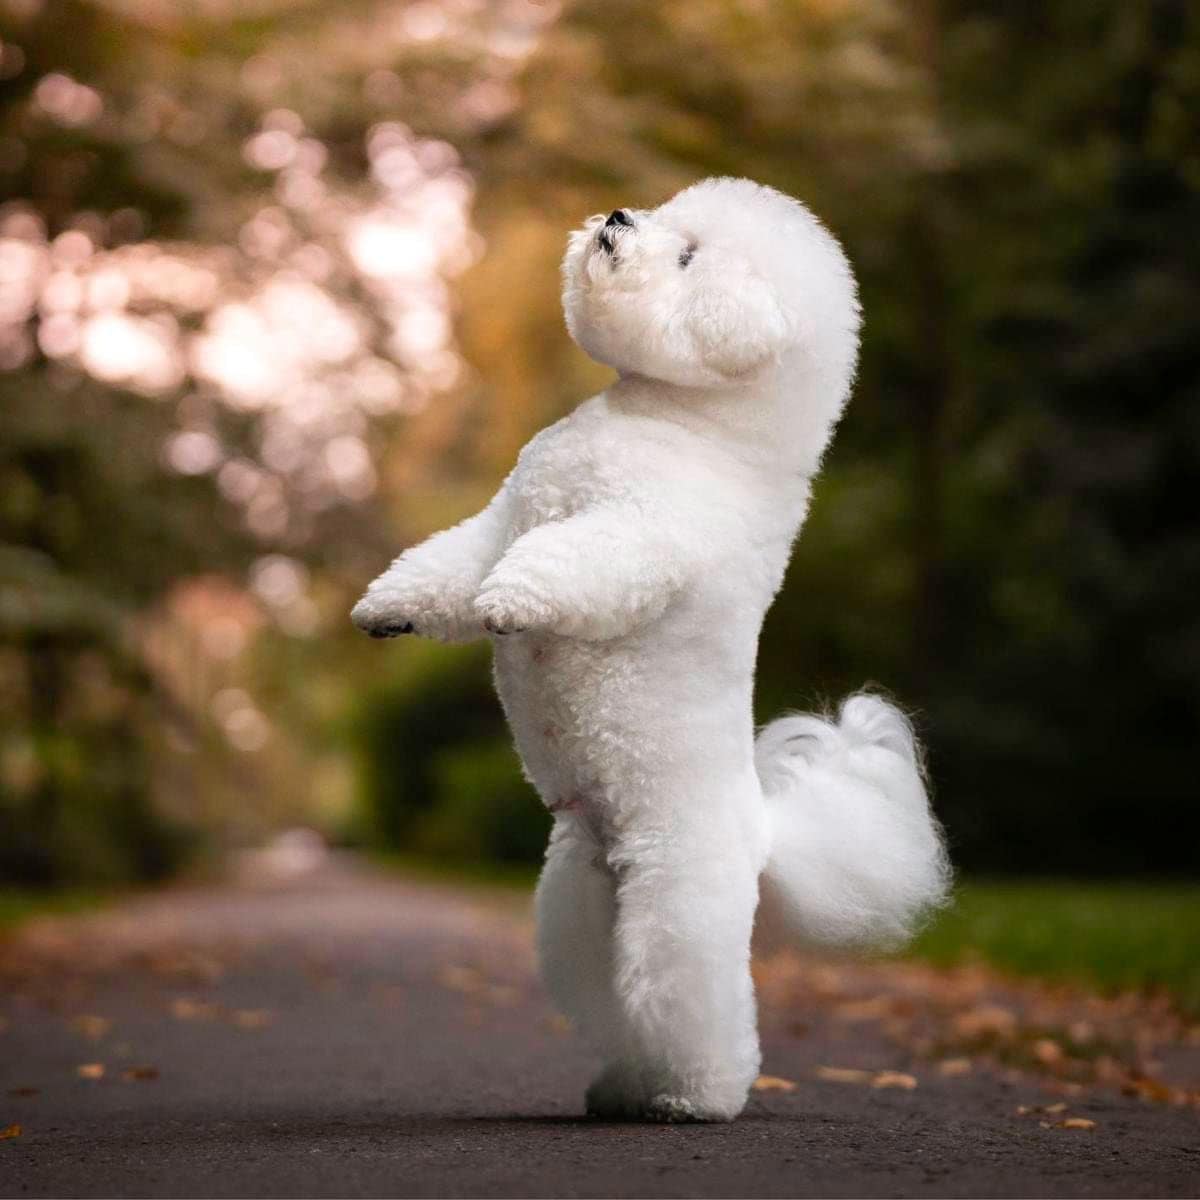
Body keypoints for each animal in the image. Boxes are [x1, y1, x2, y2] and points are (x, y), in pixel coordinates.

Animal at [350, 180, 950, 1123]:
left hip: (680, 902)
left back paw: (693, 1098)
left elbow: (559, 563)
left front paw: (509, 603)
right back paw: (625, 1084)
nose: (618, 219)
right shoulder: (506, 514)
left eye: (688, 258)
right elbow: (452, 560)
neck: (690, 425)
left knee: (692, 1005)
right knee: (612, 1000)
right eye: (670, 219)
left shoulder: (638, 536)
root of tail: (760, 830)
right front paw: (391, 606)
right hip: (581, 898)